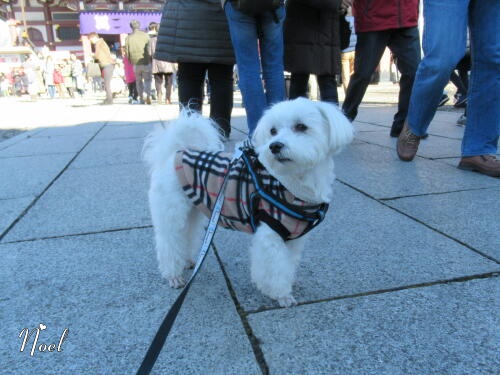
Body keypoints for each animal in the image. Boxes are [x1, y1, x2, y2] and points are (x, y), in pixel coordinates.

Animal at [145, 98, 354, 306]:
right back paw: (173, 275)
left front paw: (288, 283)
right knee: (169, 241)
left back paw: (187, 261)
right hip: (171, 210)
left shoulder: (294, 237)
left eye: (301, 127)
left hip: (193, 208)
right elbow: (275, 269)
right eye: (272, 131)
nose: (274, 146)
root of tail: (176, 152)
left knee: (187, 234)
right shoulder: (271, 233)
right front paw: (281, 295)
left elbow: (289, 263)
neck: (293, 184)